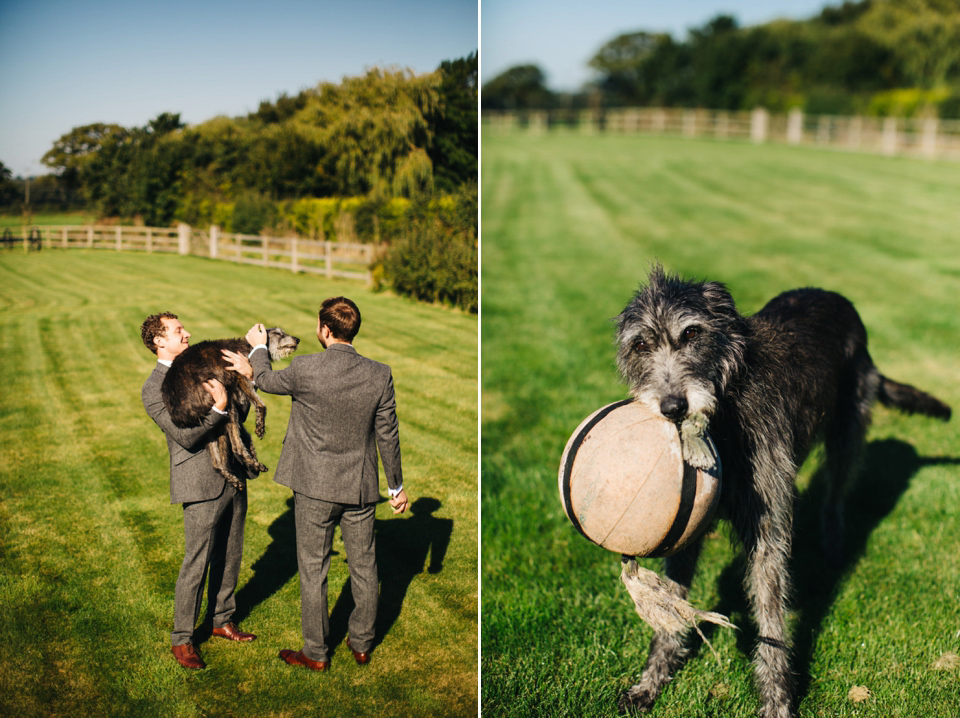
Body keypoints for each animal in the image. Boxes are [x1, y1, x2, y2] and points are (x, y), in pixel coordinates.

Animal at [161, 328, 298, 492]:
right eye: (279, 333)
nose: (297, 340)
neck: (249, 346)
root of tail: (175, 410)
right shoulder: (240, 375)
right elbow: (260, 404)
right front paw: (260, 426)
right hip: (226, 404)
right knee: (236, 446)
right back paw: (252, 463)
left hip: (210, 425)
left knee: (217, 462)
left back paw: (235, 475)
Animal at [612, 268, 948, 718]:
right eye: (640, 345)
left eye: (692, 333)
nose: (673, 407)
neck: (726, 410)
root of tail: (833, 295)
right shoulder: (686, 527)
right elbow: (672, 605)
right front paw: (651, 680)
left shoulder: (766, 528)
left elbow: (771, 619)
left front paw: (776, 701)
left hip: (847, 432)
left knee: (835, 496)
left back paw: (834, 546)